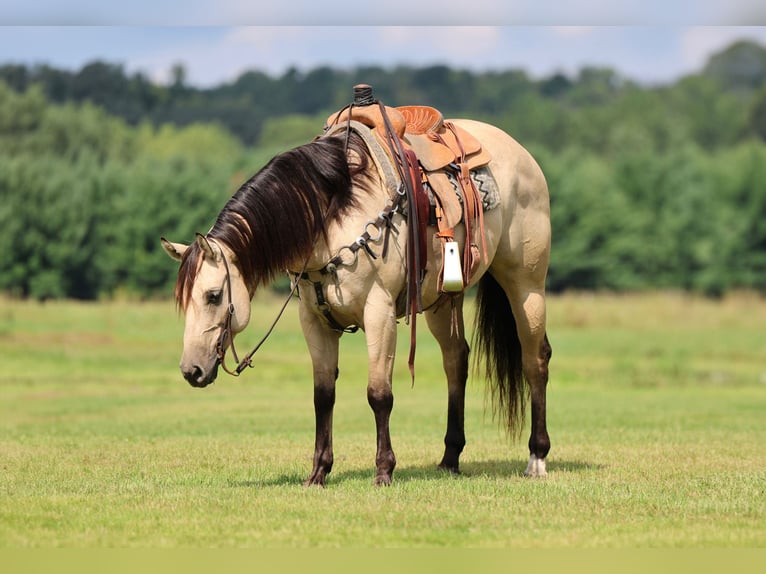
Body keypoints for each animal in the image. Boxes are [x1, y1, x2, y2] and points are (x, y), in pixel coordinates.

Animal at [161, 96, 552, 486]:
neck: (331, 216)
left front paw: (383, 470)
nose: (191, 370)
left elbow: (379, 393)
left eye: (213, 296)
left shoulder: (379, 313)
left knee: (535, 360)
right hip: (442, 301)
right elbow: (323, 396)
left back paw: (536, 457)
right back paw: (450, 458)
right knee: (456, 361)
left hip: (526, 285)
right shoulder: (313, 321)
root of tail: (521, 155)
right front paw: (318, 472)